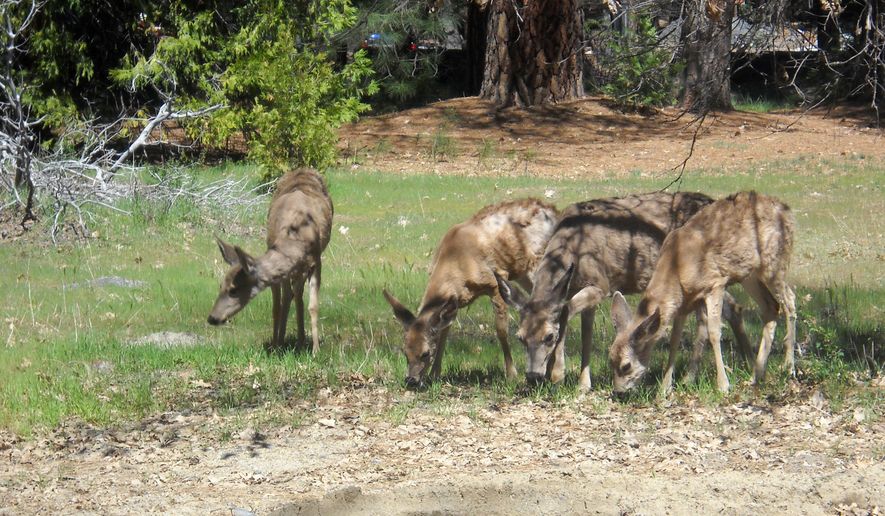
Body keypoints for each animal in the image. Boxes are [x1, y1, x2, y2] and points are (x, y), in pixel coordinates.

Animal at [207, 168, 334, 354]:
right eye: (220, 285)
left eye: (234, 290)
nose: (212, 318)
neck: (295, 239)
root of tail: (302, 169)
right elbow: (277, 306)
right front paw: (275, 346)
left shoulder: (316, 262)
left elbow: (312, 306)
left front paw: (314, 350)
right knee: (290, 295)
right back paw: (287, 340)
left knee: (296, 294)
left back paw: (300, 341)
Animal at [383, 198, 559, 389]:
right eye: (405, 352)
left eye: (425, 353)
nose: (411, 380)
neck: (455, 261)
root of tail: (553, 210)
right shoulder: (454, 302)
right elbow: (444, 333)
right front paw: (434, 374)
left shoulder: (495, 281)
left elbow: (501, 330)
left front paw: (511, 374)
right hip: (523, 273)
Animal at [496, 192, 751, 391]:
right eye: (520, 337)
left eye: (549, 336)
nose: (532, 376)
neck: (572, 249)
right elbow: (586, 333)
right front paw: (583, 384)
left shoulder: (601, 284)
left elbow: (566, 311)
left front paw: (557, 372)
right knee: (726, 310)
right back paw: (740, 365)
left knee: (721, 312)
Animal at [609, 191, 796, 395]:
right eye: (610, 359)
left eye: (626, 365)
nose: (618, 392)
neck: (677, 268)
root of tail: (786, 210)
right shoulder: (685, 303)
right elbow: (677, 338)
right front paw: (666, 387)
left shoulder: (715, 284)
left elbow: (714, 332)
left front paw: (723, 385)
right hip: (750, 275)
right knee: (771, 307)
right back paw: (756, 375)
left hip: (774, 262)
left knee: (789, 301)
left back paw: (788, 367)